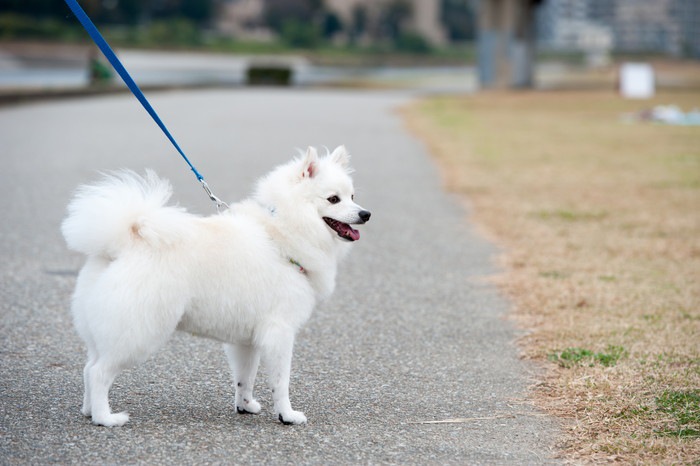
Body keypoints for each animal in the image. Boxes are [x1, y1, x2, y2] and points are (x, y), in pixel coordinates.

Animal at [62, 146, 370, 426]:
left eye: (353, 196)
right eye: (333, 199)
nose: (366, 214)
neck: (281, 232)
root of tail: (122, 243)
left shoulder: (247, 339)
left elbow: (245, 377)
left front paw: (245, 405)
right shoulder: (279, 331)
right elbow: (281, 382)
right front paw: (287, 415)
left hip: (103, 330)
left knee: (88, 368)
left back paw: (89, 411)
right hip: (138, 333)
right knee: (100, 372)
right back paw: (105, 418)